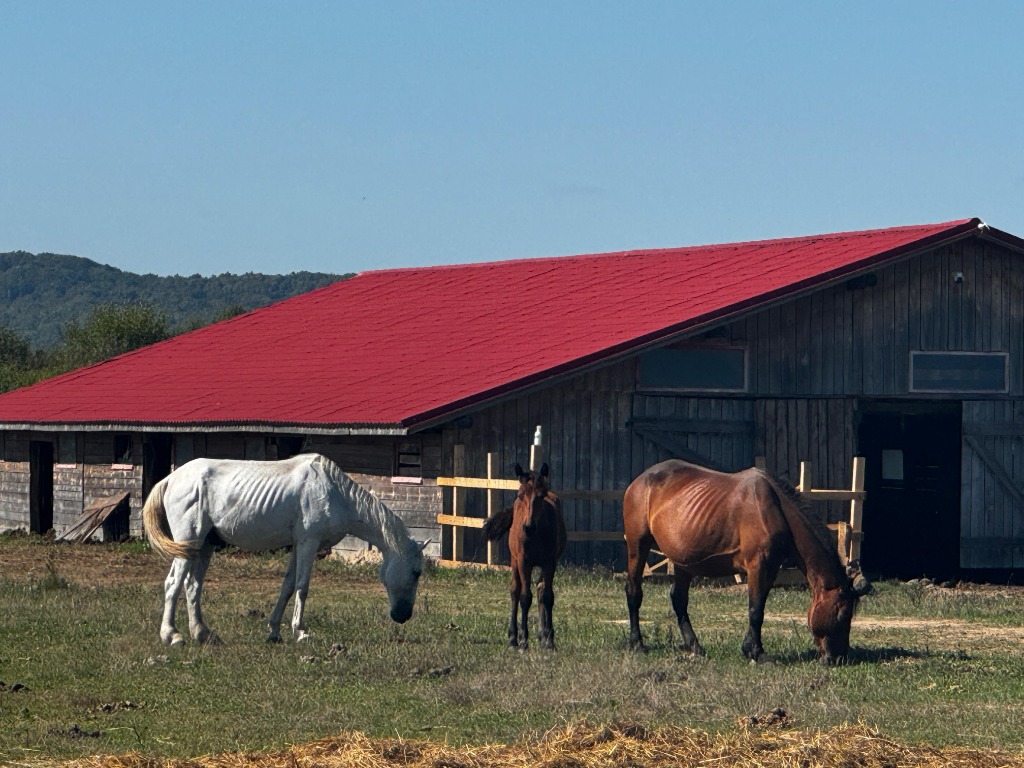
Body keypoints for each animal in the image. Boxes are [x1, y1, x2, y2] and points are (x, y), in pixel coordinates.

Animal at [143, 453, 425, 646]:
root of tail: (171, 478)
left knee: (192, 585)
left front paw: (274, 631)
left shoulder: (299, 545)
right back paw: (172, 635)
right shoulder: (309, 542)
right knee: (173, 583)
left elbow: (288, 586)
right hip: (189, 540)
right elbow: (302, 586)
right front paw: (300, 631)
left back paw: (202, 634)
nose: (403, 616)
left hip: (204, 546)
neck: (336, 492)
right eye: (416, 572)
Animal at [482, 462, 567, 650]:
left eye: (541, 495)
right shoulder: (523, 562)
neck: (535, 535)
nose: (528, 527)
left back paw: (542, 636)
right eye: (521, 495)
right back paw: (513, 637)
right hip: (514, 562)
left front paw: (549, 640)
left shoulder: (550, 563)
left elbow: (547, 596)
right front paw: (523, 641)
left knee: (541, 589)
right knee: (515, 591)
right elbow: (525, 597)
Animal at [623, 459, 870, 664]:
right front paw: (756, 652)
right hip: (638, 547)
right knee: (634, 591)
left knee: (679, 599)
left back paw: (695, 646)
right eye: (843, 615)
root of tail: (639, 481)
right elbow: (755, 609)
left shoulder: (771, 569)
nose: (838, 658)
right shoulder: (758, 567)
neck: (776, 509)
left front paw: (750, 649)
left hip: (683, 562)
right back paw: (637, 643)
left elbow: (759, 608)